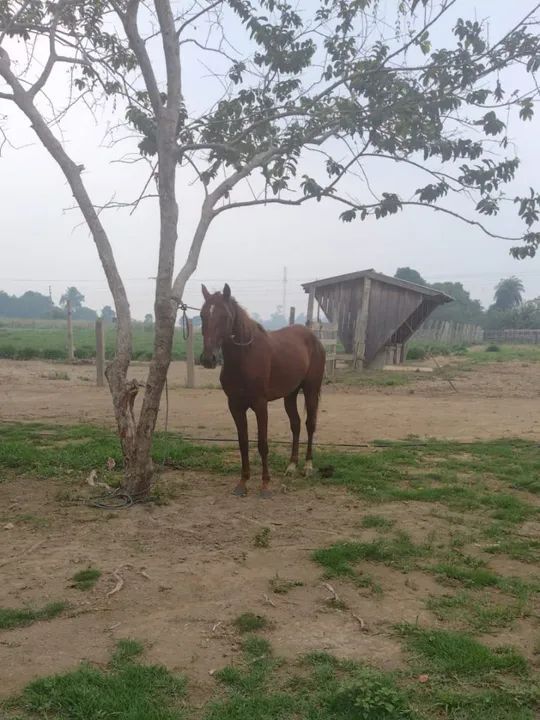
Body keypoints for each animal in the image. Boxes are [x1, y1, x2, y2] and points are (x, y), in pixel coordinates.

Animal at [200, 283, 326, 498]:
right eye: (202, 315)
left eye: (225, 316)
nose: (209, 359)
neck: (245, 357)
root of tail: (314, 338)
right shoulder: (235, 406)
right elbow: (243, 443)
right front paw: (242, 483)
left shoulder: (260, 405)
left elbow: (262, 444)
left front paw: (265, 485)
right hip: (290, 394)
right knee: (296, 424)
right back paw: (291, 466)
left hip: (310, 389)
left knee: (310, 424)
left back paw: (308, 467)